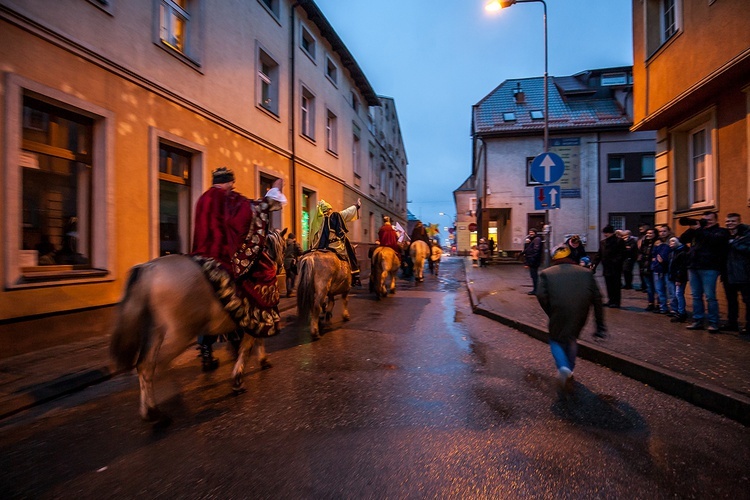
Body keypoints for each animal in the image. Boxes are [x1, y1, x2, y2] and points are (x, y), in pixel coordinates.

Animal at [110, 229, 286, 422]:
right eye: (282, 246)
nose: (280, 267)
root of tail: (149, 268)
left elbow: (246, 344)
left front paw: (257, 362)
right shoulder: (255, 319)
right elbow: (247, 348)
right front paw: (240, 378)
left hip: (156, 331)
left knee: (144, 365)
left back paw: (150, 411)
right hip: (180, 334)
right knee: (158, 364)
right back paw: (166, 400)